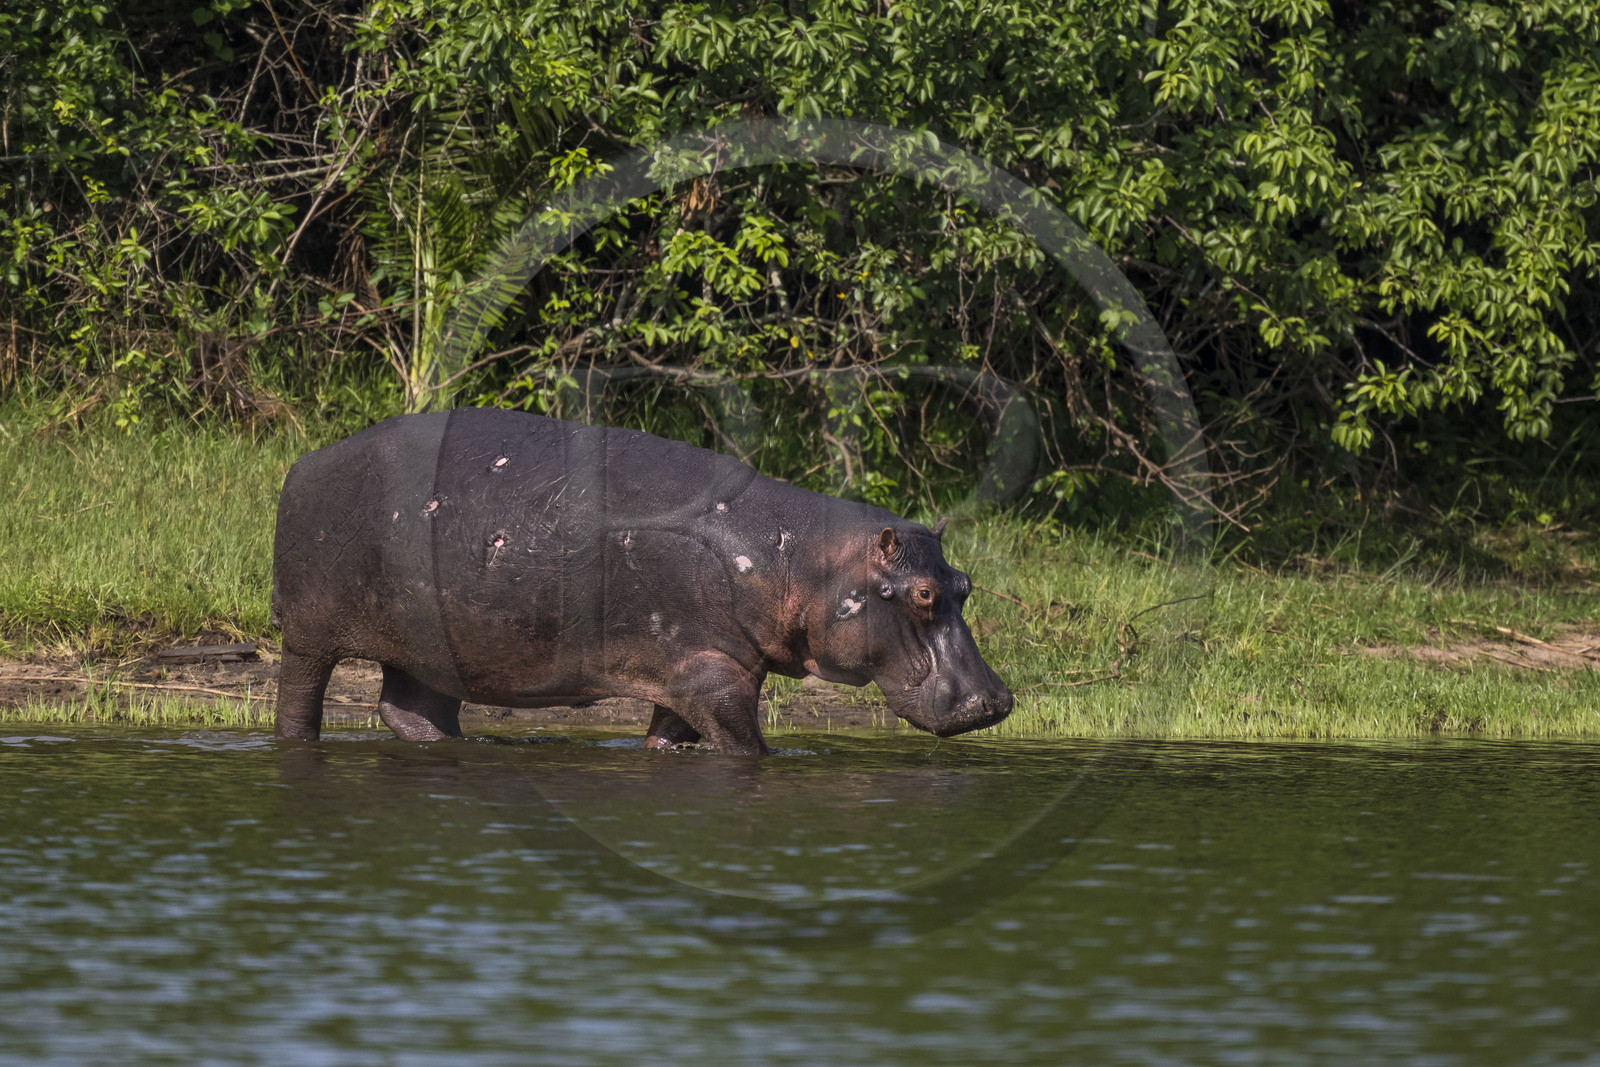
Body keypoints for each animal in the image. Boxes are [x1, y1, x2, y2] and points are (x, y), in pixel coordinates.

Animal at [270, 409, 1012, 754]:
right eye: (921, 595)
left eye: (965, 583)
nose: (996, 700)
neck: (803, 560)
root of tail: (307, 460)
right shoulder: (713, 675)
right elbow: (748, 747)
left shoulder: (690, 670)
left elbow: (666, 737)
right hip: (308, 634)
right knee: (299, 700)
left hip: (433, 645)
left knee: (410, 707)